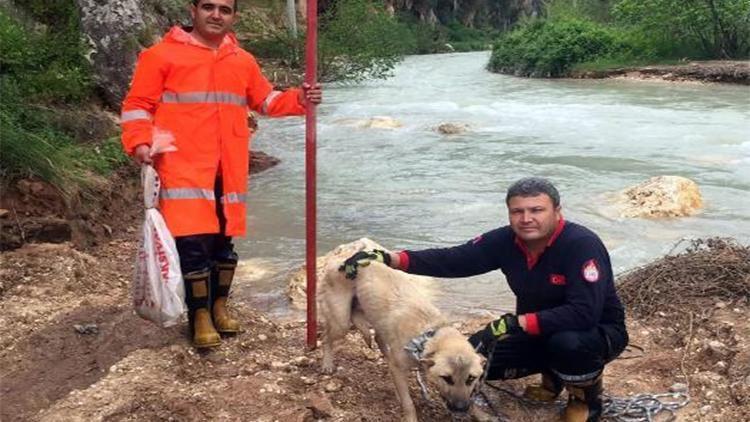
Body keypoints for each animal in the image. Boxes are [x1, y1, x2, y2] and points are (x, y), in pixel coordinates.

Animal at [322, 242, 488, 420]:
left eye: (471, 379)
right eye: (446, 378)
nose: (461, 408)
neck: (428, 335)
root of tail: (340, 259)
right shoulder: (398, 369)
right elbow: (408, 403)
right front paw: (410, 417)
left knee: (369, 329)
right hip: (341, 322)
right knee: (327, 337)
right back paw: (327, 363)